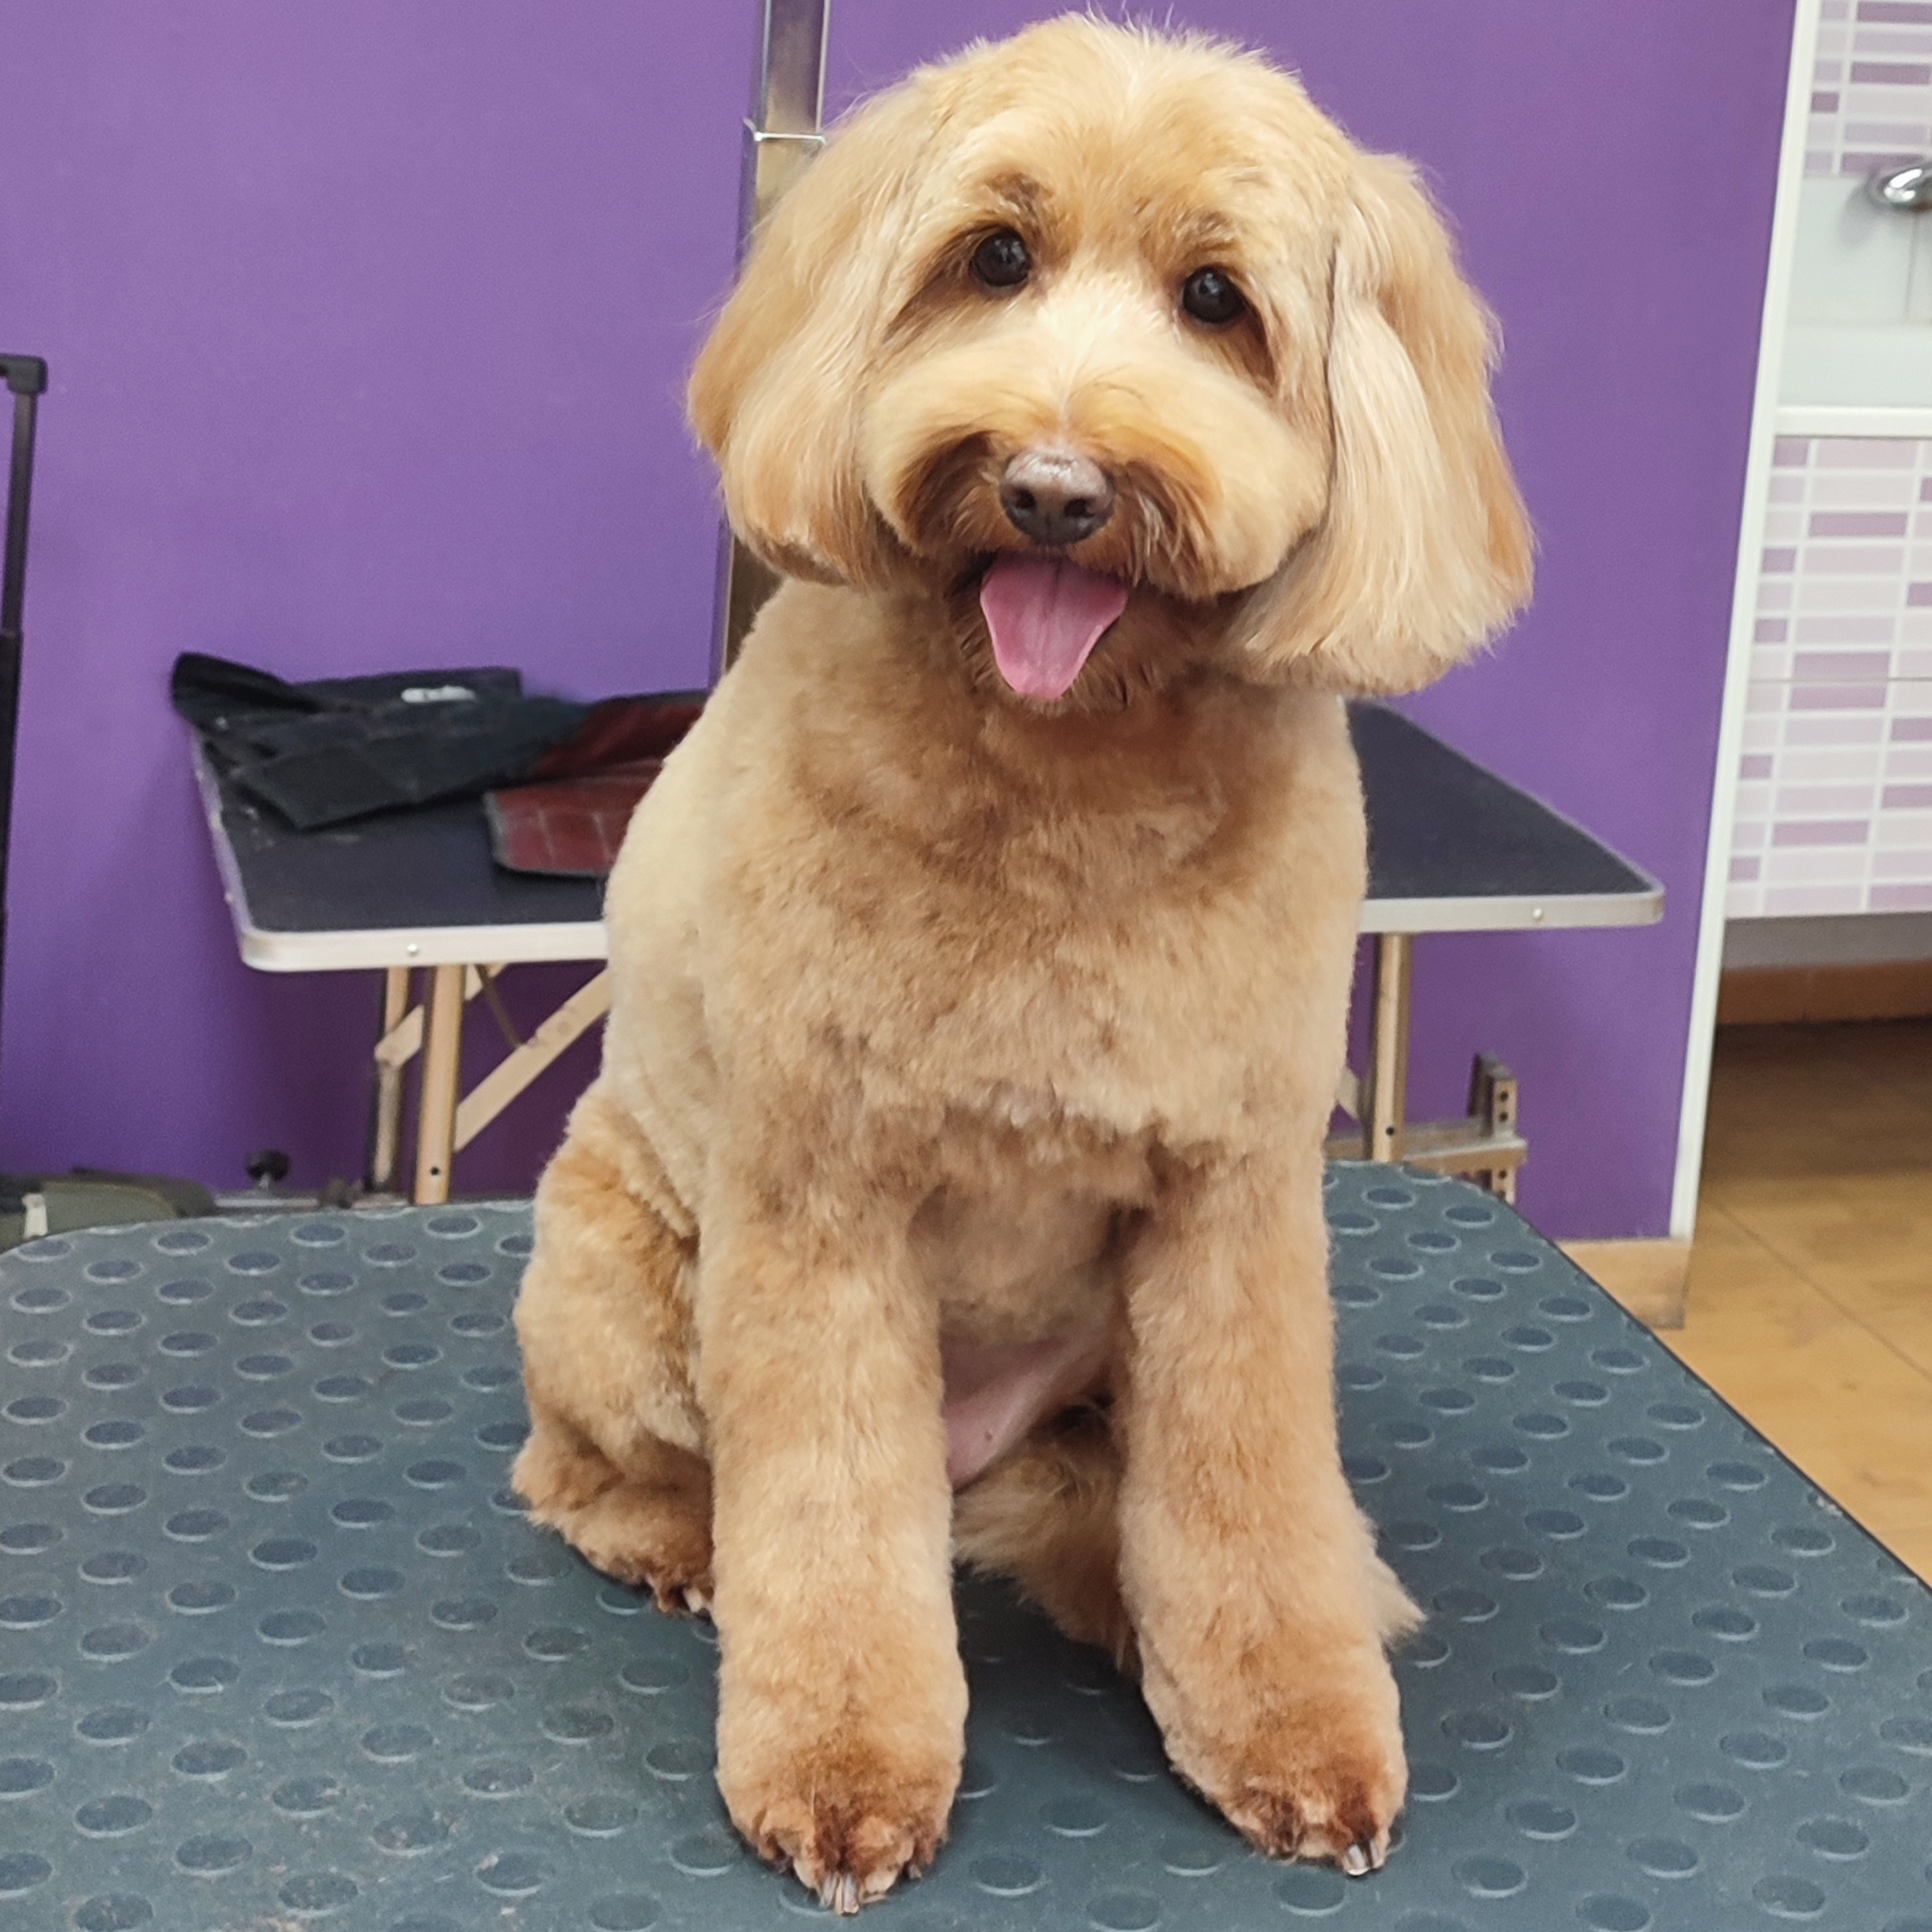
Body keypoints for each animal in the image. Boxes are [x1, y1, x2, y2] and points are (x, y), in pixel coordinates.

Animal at [510, 11, 1522, 1917]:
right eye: (993, 258)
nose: (1053, 488)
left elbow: (1249, 1499)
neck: (1065, 771)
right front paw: (840, 1772)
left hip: (1092, 1367)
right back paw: (679, 1543)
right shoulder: (821, 1205)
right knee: (593, 1468)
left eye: (1216, 300)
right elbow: (827, 1520)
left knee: (1110, 1508)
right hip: (622, 1285)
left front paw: (1290, 1733)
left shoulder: (1233, 1208)